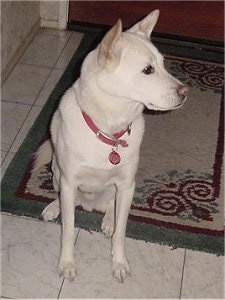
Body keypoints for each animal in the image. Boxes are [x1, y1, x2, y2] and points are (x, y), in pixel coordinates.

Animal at [33, 8, 187, 282]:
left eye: (162, 64)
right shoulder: (69, 181)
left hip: (121, 189)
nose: (185, 92)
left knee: (110, 207)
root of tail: (89, 204)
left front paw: (119, 263)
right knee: (64, 199)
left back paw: (107, 220)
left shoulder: (126, 184)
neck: (109, 130)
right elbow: (68, 230)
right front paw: (67, 263)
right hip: (56, 172)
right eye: (148, 70)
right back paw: (53, 207)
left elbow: (121, 234)